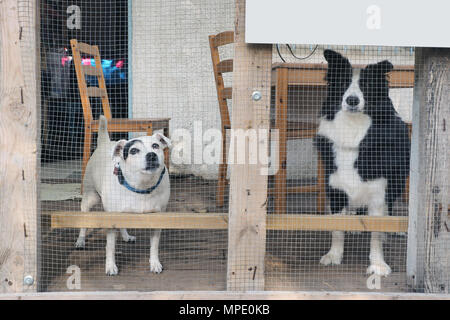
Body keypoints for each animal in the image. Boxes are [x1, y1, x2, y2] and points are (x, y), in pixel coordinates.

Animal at [75, 115, 171, 276]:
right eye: (133, 151)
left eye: (155, 146)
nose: (151, 155)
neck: (141, 186)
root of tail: (105, 142)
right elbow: (110, 246)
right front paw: (110, 266)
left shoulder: (157, 217)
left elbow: (154, 245)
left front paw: (154, 263)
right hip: (90, 198)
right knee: (83, 219)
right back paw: (80, 241)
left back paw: (126, 236)